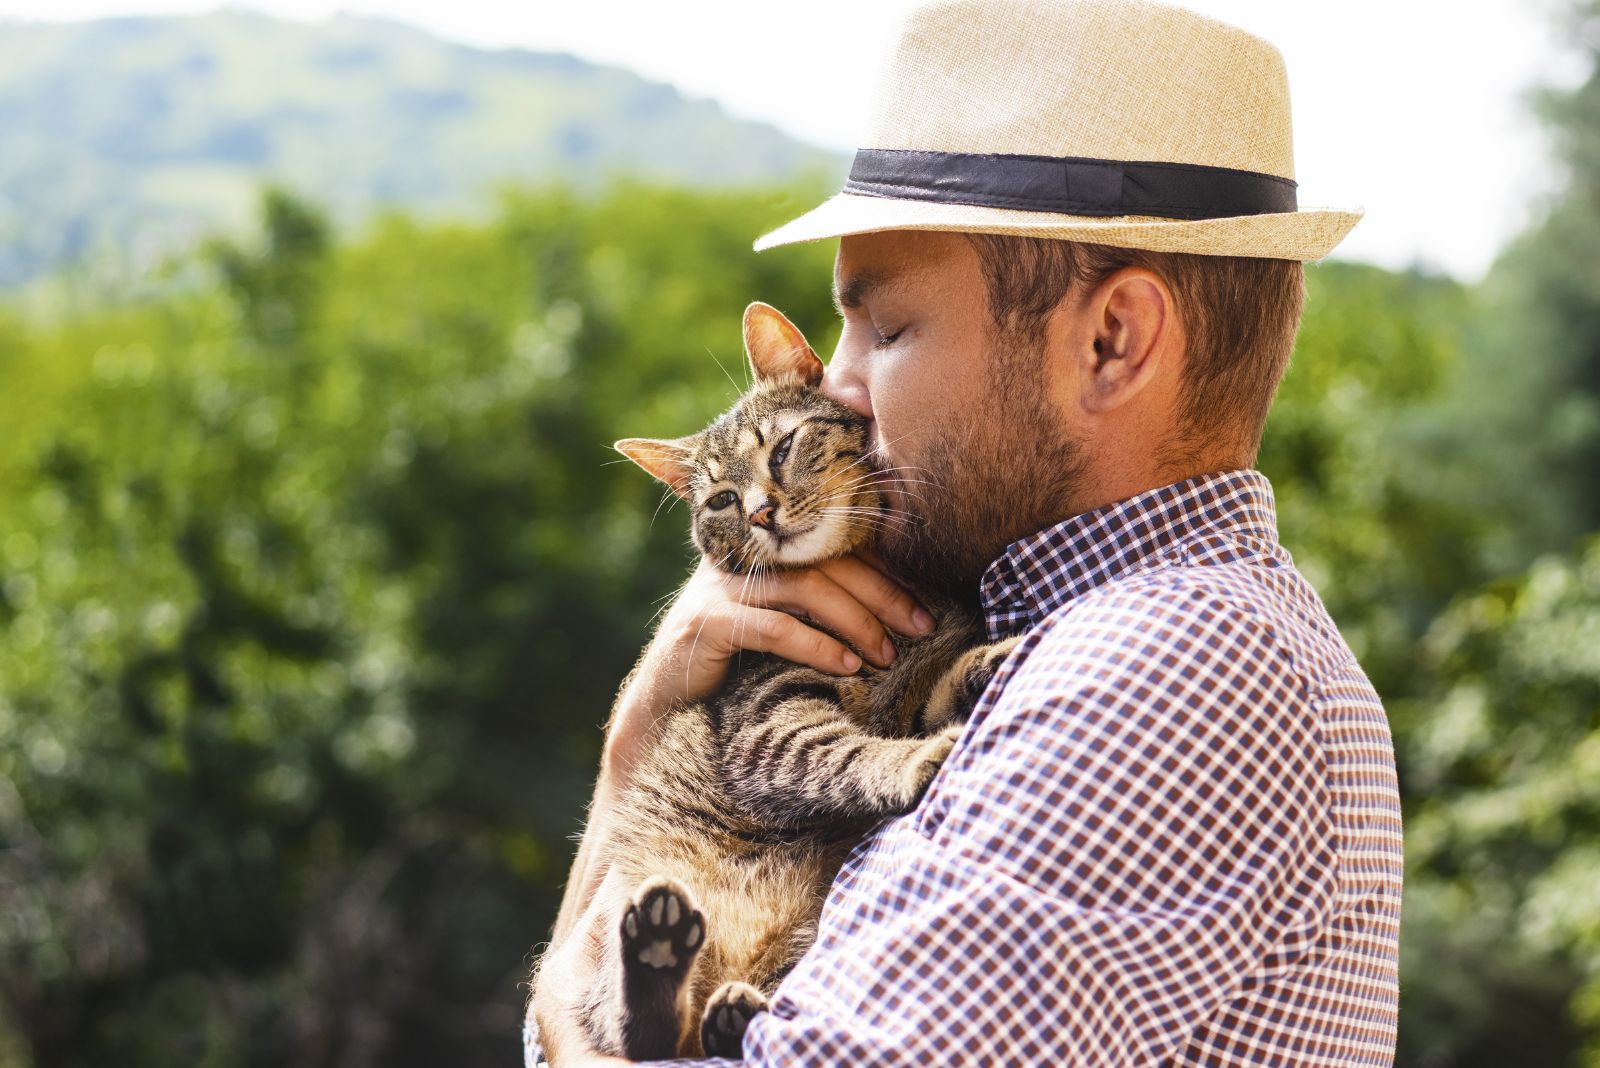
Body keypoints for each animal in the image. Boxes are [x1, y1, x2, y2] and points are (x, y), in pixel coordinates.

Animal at [531, 298, 1017, 1061]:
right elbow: (846, 754)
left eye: (782, 450)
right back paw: (661, 959)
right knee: (641, 1035)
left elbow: (926, 697)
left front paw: (978, 668)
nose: (761, 511)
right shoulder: (765, 725)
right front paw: (915, 759)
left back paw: (729, 1009)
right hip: (618, 924)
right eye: (722, 501)